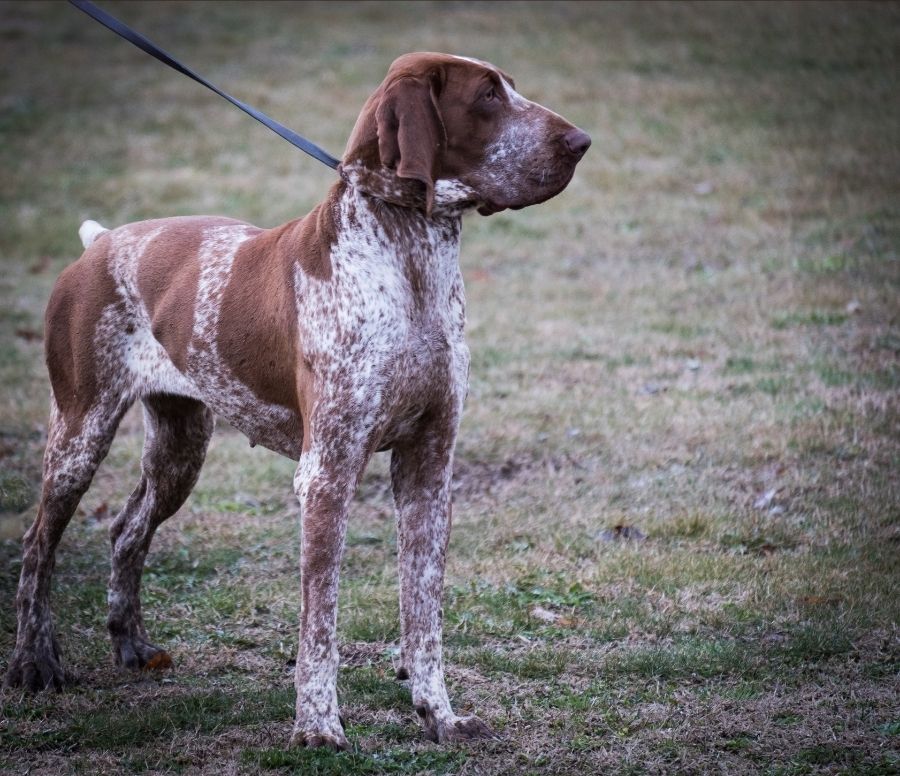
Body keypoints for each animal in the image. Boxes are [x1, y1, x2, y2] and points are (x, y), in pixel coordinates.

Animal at [3, 51, 592, 748]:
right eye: (488, 96)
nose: (582, 142)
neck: (409, 256)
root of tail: (101, 243)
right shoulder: (327, 474)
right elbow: (320, 625)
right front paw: (317, 726)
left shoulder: (429, 468)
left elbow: (423, 615)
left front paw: (439, 714)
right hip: (79, 434)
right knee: (38, 545)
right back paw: (33, 662)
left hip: (180, 449)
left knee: (126, 532)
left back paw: (133, 645)